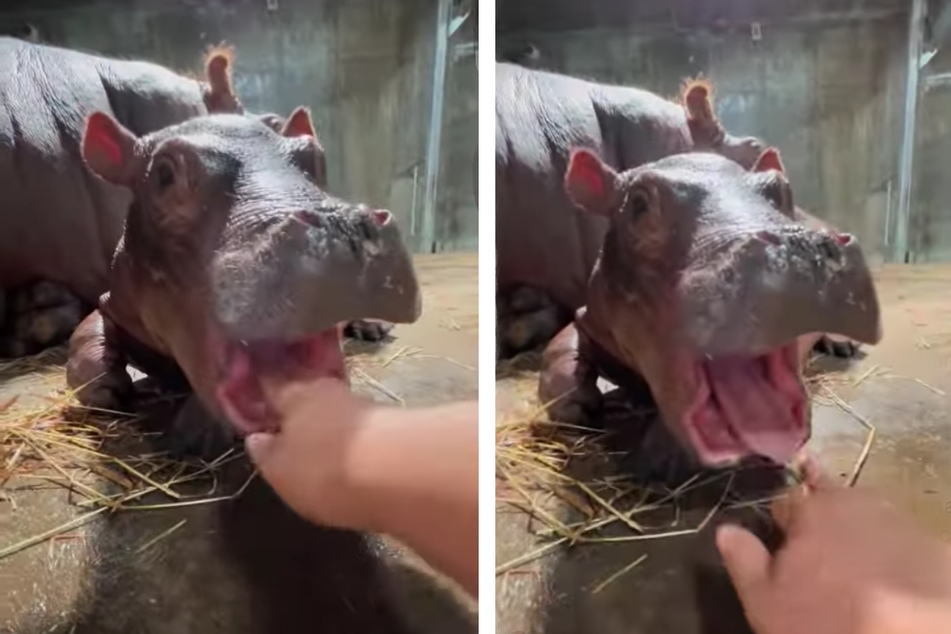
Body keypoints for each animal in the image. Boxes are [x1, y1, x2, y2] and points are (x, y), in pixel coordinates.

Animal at [67, 106, 420, 452]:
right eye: (164, 174)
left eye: (316, 156)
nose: (340, 223)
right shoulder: (115, 300)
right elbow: (86, 332)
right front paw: (109, 389)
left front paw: (197, 431)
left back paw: (374, 328)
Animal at [540, 147, 880, 470]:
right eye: (638, 203)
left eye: (782, 188)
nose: (800, 244)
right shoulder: (589, 315)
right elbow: (559, 347)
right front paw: (580, 407)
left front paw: (657, 456)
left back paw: (843, 346)